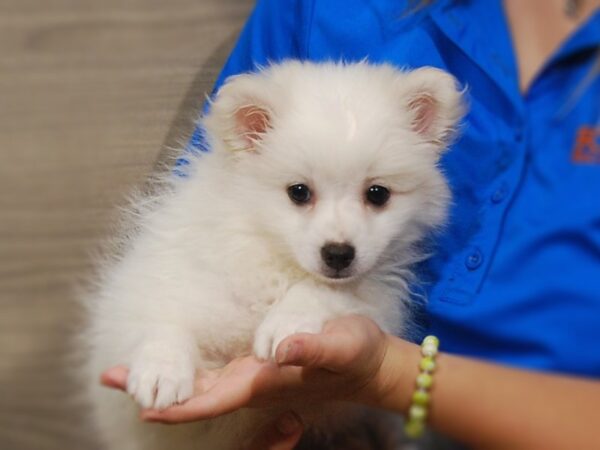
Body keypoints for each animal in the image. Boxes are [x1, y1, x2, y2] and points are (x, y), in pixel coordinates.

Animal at [83, 60, 464, 450]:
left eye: (377, 194)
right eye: (299, 192)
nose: (339, 254)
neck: (274, 254)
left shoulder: (376, 297)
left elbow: (323, 291)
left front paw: (287, 322)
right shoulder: (168, 275)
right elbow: (163, 319)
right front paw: (161, 369)